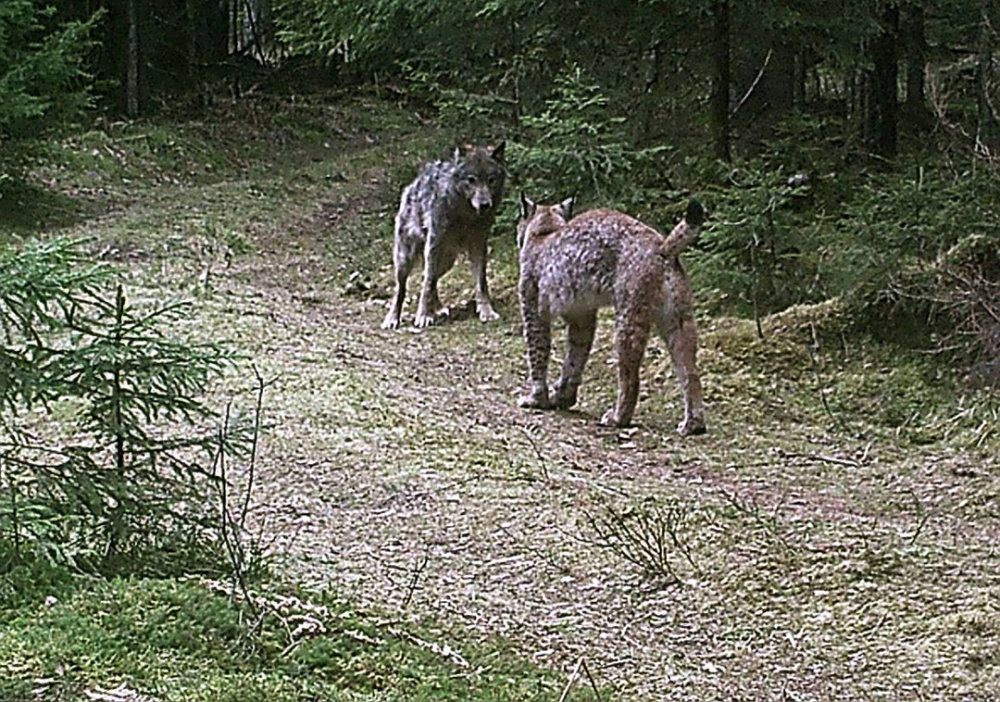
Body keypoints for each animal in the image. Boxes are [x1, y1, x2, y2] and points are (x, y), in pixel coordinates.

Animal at [382, 144, 508, 332]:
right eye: (471, 180)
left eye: (491, 180)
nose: (485, 205)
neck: (465, 214)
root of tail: (412, 185)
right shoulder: (434, 244)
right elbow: (426, 284)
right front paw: (423, 315)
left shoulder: (479, 245)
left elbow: (481, 282)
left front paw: (486, 311)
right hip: (406, 259)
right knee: (402, 288)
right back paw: (392, 318)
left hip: (447, 261)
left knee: (431, 278)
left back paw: (438, 308)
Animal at [520, 194, 708, 434]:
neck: (545, 230)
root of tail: (659, 243)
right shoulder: (582, 316)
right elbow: (574, 357)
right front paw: (563, 397)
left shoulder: (533, 310)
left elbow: (538, 354)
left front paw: (536, 399)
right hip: (678, 318)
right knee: (691, 372)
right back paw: (694, 423)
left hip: (628, 315)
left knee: (630, 378)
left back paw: (618, 418)